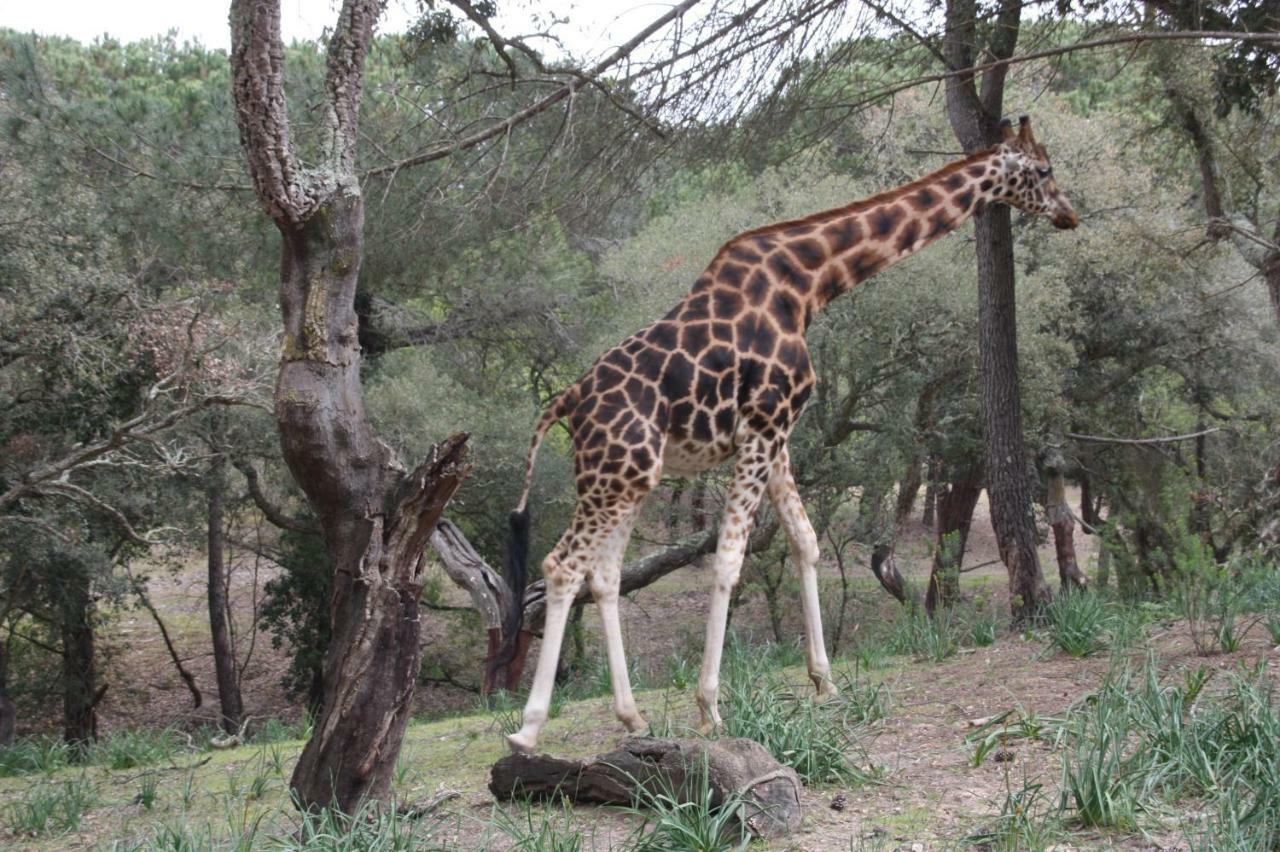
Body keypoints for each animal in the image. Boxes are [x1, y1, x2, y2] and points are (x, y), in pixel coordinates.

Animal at [504, 114, 1075, 752]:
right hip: (615, 476)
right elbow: (730, 560)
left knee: (602, 575)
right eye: (1045, 169)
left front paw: (824, 681)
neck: (810, 282)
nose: (1069, 214)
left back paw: (632, 718)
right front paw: (710, 707)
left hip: (626, 479)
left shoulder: (777, 435)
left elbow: (804, 540)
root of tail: (566, 402)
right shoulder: (763, 428)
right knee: (562, 566)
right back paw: (528, 730)